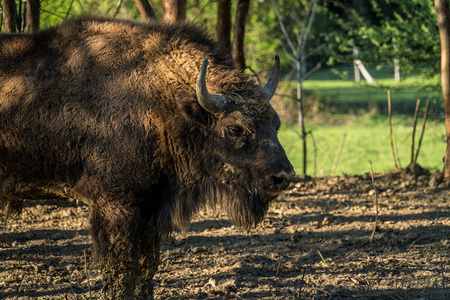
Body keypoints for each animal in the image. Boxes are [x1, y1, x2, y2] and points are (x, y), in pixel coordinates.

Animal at [0, 17, 296, 298]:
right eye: (235, 128)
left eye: (276, 123)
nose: (283, 176)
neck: (162, 102)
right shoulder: (114, 206)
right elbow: (121, 269)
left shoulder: (152, 209)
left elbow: (146, 265)